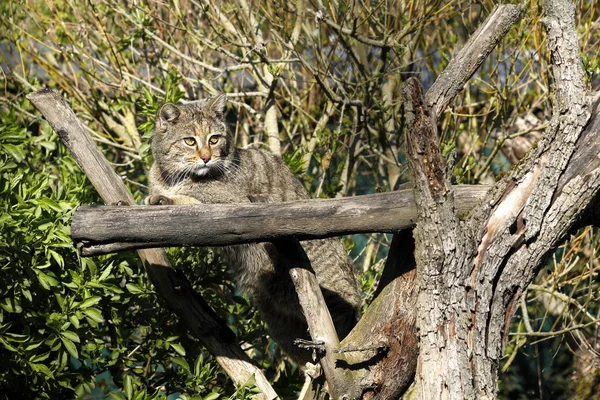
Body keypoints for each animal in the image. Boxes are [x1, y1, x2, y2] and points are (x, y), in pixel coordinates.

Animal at [146, 95, 360, 364]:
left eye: (214, 139)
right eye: (190, 141)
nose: (206, 157)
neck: (173, 177)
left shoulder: (231, 205)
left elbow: (189, 200)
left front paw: (167, 198)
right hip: (277, 319)